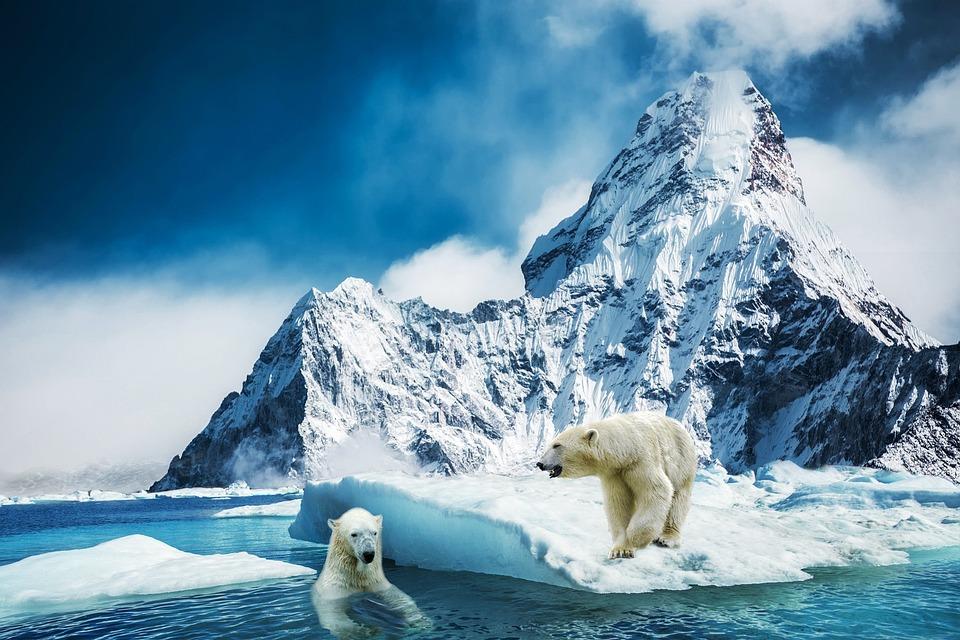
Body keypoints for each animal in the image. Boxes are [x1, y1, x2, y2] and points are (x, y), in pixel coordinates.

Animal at [312, 508, 428, 636]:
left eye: (374, 532)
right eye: (354, 534)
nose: (369, 554)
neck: (357, 576)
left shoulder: (376, 582)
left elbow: (400, 598)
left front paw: (420, 622)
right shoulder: (335, 591)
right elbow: (333, 613)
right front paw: (360, 631)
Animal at [532, 412, 696, 556]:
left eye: (557, 445)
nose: (540, 463)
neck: (626, 447)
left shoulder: (642, 461)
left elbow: (657, 491)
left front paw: (637, 537)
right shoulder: (614, 474)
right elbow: (618, 504)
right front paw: (621, 550)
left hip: (682, 461)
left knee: (678, 499)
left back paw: (666, 537)